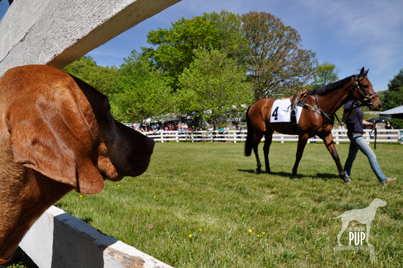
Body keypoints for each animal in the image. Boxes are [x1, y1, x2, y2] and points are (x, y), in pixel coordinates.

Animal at [246, 68, 382, 183]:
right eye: (365, 85)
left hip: (269, 131)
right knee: (255, 146)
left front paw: (344, 177)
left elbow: (335, 155)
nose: (378, 104)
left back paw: (268, 169)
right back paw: (258, 168)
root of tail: (253, 105)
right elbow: (299, 154)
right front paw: (294, 173)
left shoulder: (326, 134)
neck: (318, 107)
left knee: (265, 149)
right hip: (259, 131)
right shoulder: (304, 134)